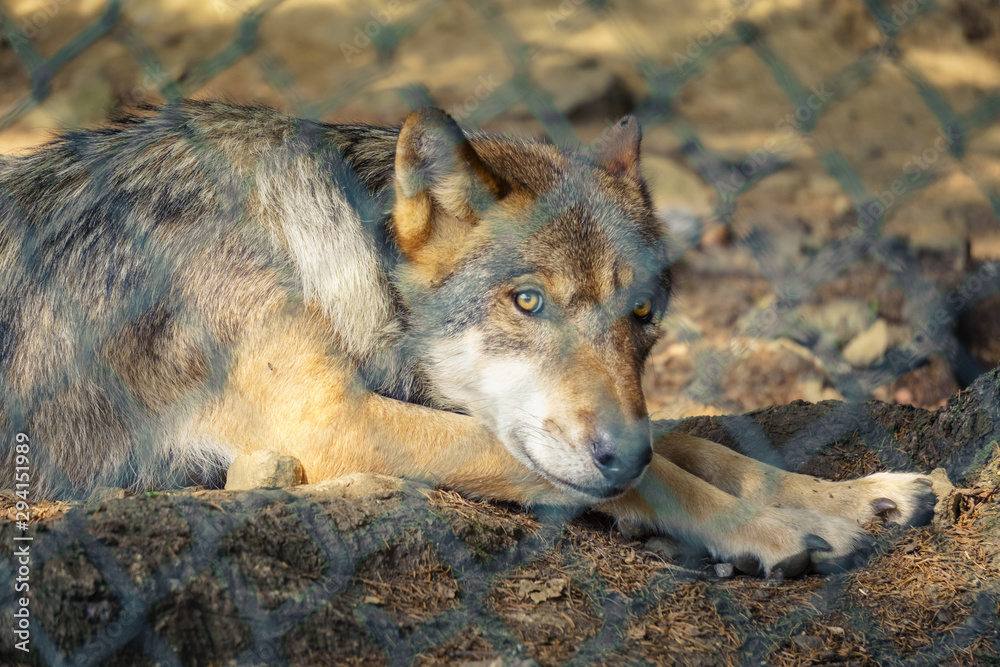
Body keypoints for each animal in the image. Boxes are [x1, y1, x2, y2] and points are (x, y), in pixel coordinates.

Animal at [0, 101, 935, 576]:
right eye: (527, 301)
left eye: (642, 317)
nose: (618, 449)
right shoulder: (332, 415)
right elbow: (656, 470)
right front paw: (769, 529)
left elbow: (694, 444)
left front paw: (854, 495)